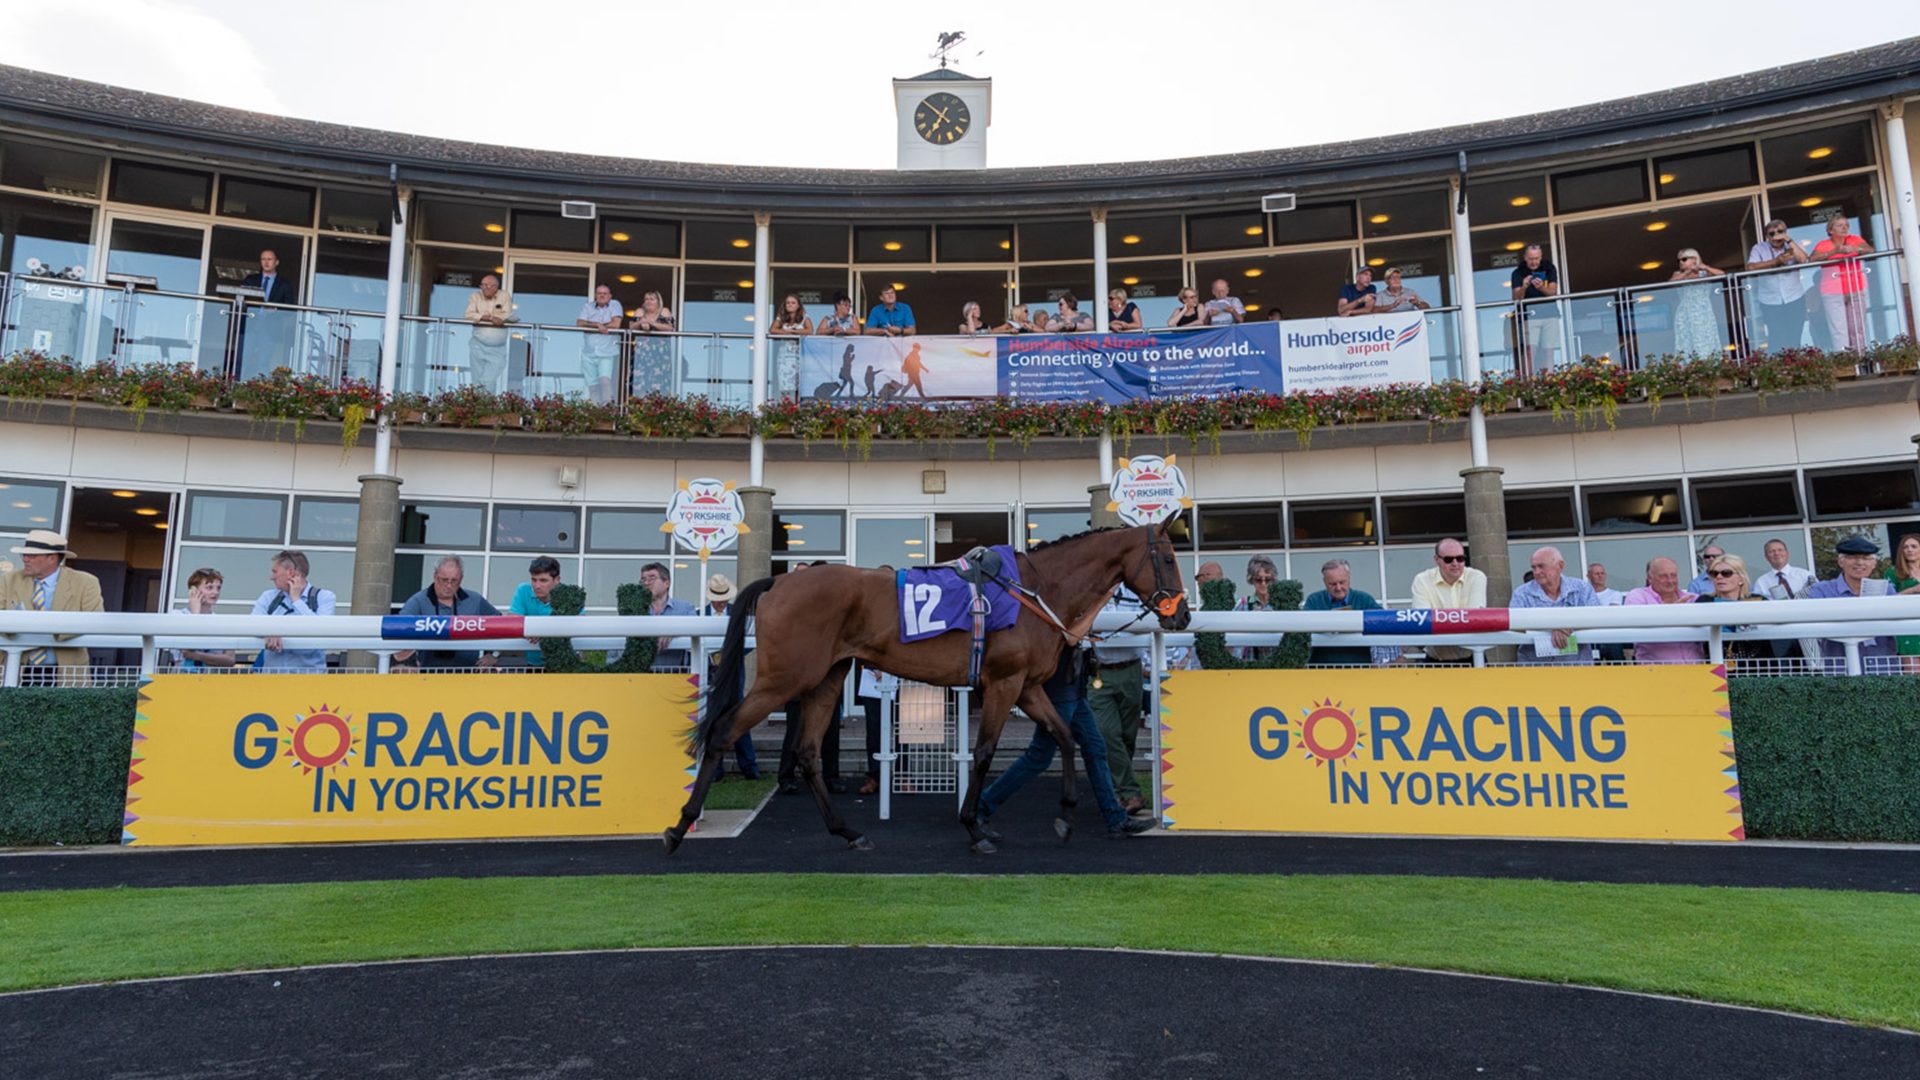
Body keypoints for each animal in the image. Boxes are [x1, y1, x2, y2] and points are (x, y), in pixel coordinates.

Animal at [668, 518, 1190, 849]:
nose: (1182, 613)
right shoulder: (1003, 683)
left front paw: (1063, 818)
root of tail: (778, 582)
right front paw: (975, 828)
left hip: (825, 679)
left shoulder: (1026, 686)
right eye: (1167, 557)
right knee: (723, 731)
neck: (1035, 591)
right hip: (784, 677)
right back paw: (679, 827)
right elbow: (984, 752)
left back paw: (848, 833)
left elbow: (1064, 737)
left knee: (809, 752)